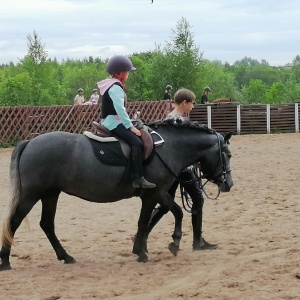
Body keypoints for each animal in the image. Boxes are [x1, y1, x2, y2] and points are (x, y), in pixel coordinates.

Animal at [0, 120, 233, 270]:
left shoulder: (156, 194)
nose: (228, 183)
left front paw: (145, 248)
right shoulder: (154, 193)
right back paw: (5, 261)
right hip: (31, 194)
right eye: (228, 154)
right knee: (14, 221)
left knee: (47, 224)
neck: (167, 148)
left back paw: (65, 256)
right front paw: (161, 246)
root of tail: (31, 142)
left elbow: (160, 215)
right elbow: (161, 216)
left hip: (50, 194)